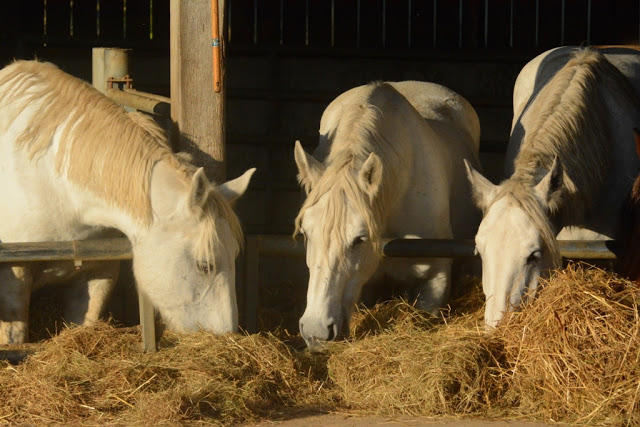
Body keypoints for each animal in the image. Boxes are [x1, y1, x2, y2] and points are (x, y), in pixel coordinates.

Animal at [0, 61, 255, 344]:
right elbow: (13, 337)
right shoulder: (14, 276)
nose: (227, 336)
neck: (54, 186)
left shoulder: (98, 272)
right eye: (205, 265)